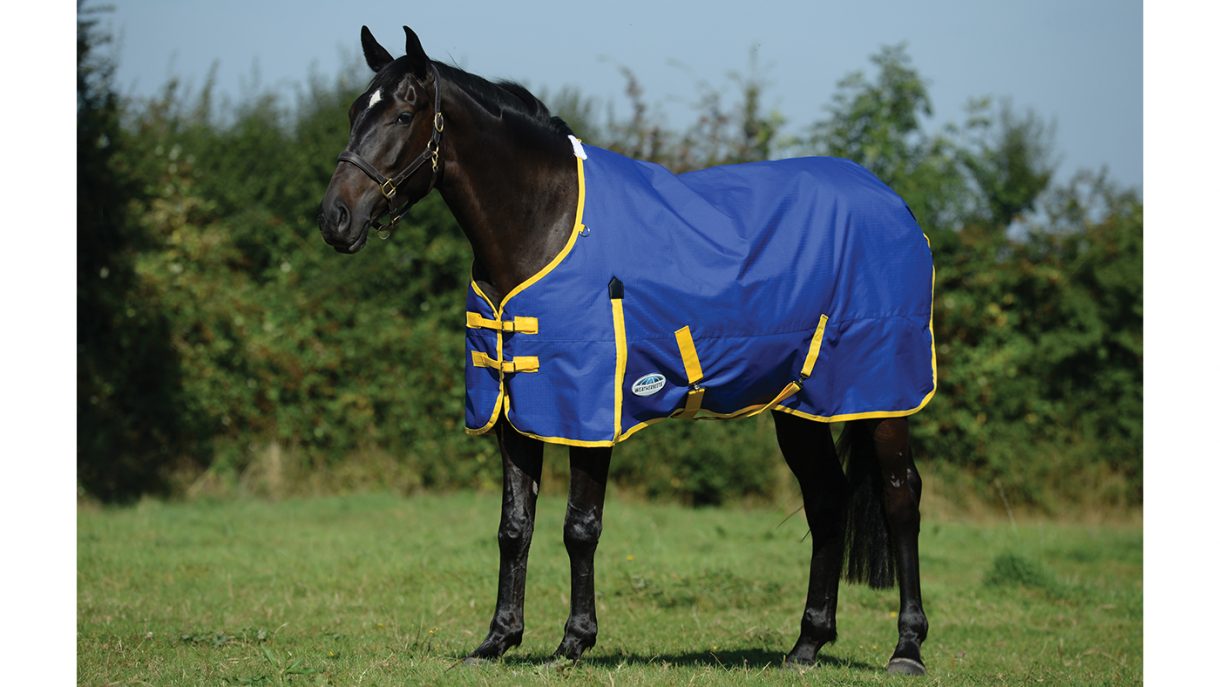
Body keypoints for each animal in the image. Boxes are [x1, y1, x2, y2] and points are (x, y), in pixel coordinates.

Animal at [317, 25, 934, 676]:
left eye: (403, 114)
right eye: (355, 112)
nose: (335, 218)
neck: (545, 222)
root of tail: (896, 206)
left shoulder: (588, 411)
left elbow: (579, 527)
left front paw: (573, 642)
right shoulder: (515, 407)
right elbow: (515, 526)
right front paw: (497, 640)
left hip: (882, 395)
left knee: (901, 499)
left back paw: (907, 648)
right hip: (801, 406)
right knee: (828, 501)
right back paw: (807, 644)